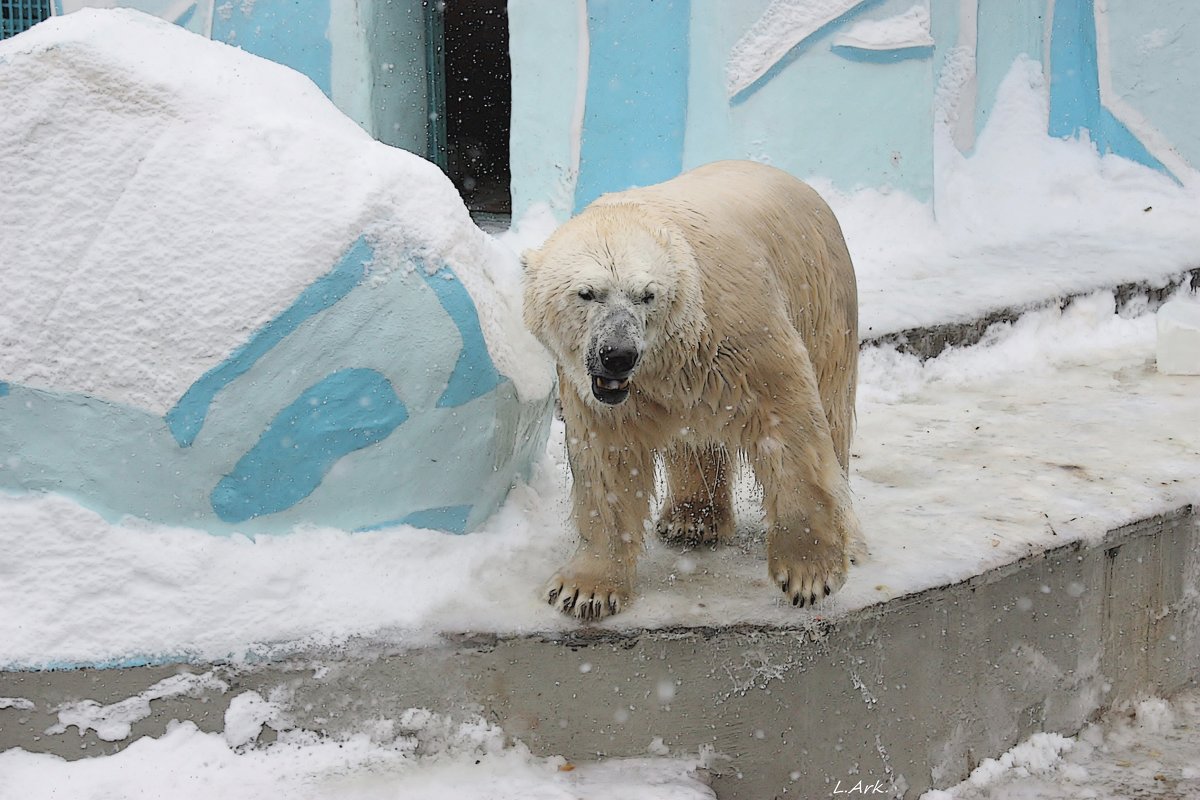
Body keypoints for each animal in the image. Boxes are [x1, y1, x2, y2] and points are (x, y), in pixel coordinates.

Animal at [525, 159, 864, 623]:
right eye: (587, 293)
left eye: (647, 295)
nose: (619, 355)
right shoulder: (597, 390)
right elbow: (607, 459)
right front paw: (584, 591)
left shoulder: (740, 331)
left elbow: (788, 425)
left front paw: (810, 575)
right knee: (693, 440)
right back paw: (691, 521)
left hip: (824, 301)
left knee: (832, 410)